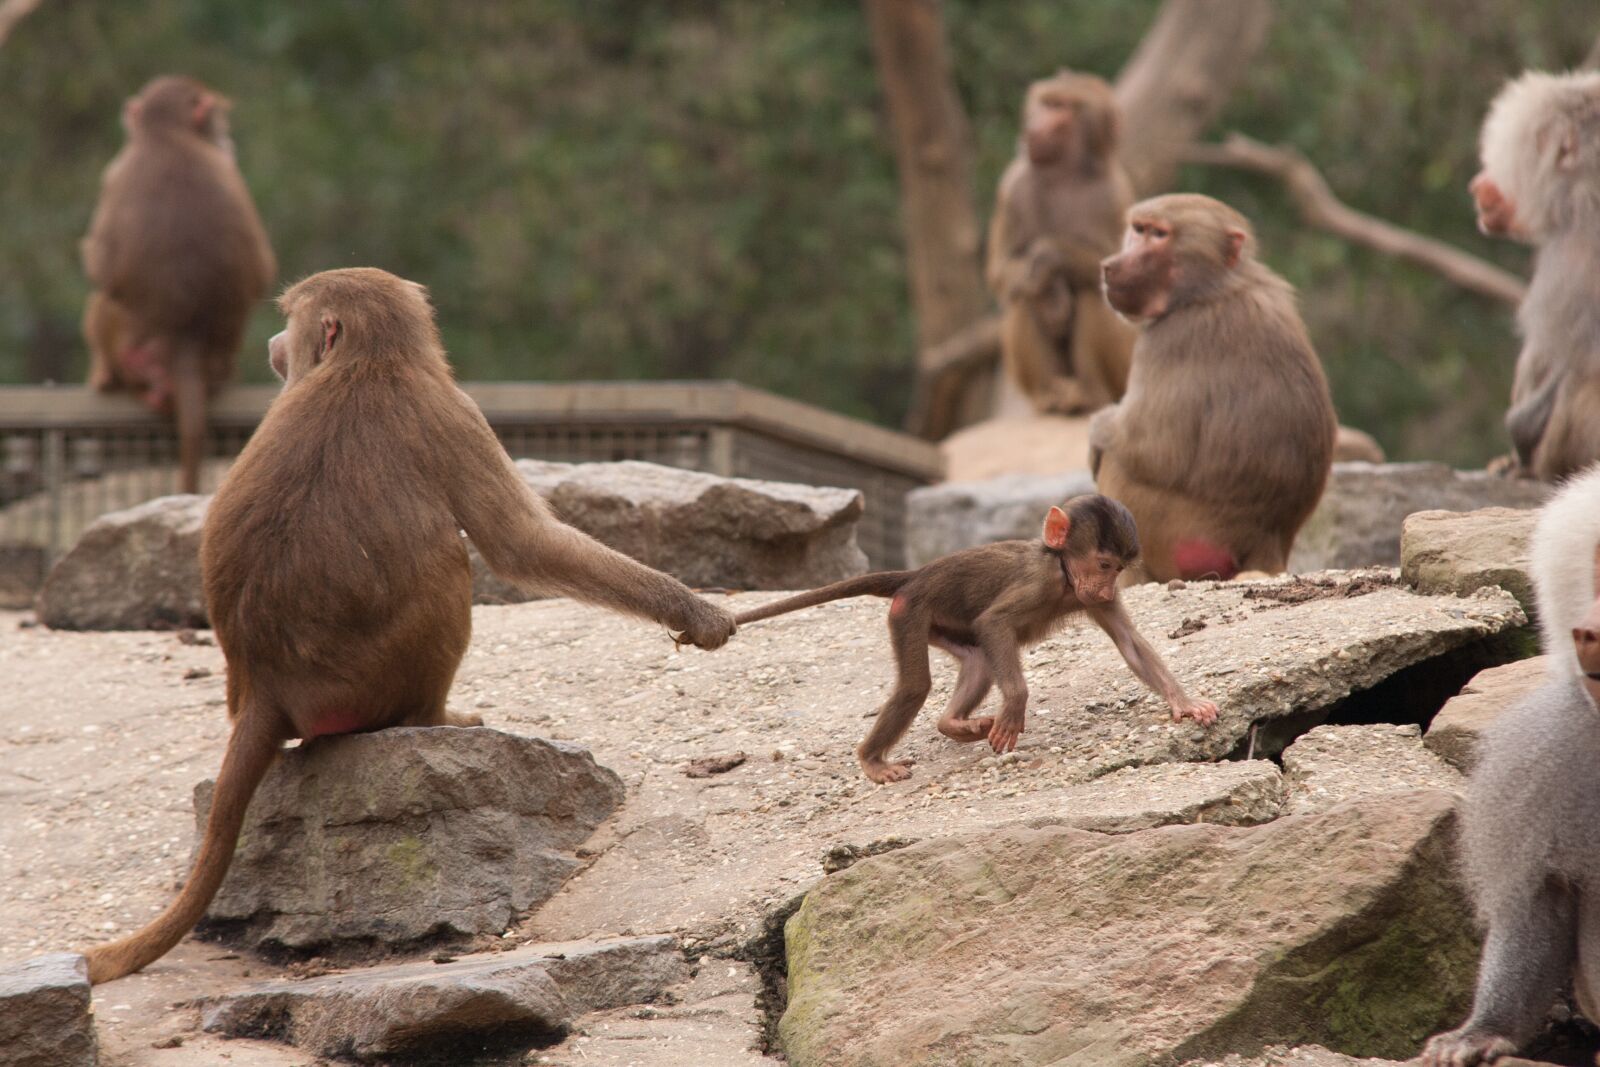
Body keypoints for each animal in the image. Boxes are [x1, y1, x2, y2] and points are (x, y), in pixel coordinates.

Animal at [80, 269, 737, 984]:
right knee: (450, 563)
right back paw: (437, 718)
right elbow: (521, 544)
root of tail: (266, 688)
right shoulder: (453, 410)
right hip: (368, 680)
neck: (368, 359)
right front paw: (694, 610)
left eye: (291, 321)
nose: (276, 346)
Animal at [81, 75, 276, 494]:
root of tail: (187, 338)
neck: (166, 133)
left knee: (102, 303)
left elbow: (101, 262)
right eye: (219, 120)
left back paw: (104, 376)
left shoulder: (115, 171)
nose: (227, 140)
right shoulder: (227, 169)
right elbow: (262, 270)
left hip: (129, 350)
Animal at [733, 494, 1218, 784]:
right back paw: (873, 760)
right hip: (909, 611)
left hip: (938, 622)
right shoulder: (1038, 583)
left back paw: (954, 724)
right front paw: (1015, 708)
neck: (1063, 573)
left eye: (1118, 569)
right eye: (1103, 564)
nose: (1103, 587)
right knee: (917, 686)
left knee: (979, 663)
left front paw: (1186, 703)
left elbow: (1130, 644)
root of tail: (915, 575)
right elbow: (996, 623)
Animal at [986, 70, 1138, 416]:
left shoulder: (1113, 194)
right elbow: (1002, 272)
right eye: (1045, 103)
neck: (1062, 174)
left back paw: (1089, 396)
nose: (1033, 129)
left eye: (1061, 108)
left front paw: (1047, 258)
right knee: (1023, 294)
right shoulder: (1012, 185)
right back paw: (1051, 396)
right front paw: (1050, 292)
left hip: (1123, 370)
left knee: (1092, 292)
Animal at [1090, 194, 1337, 583]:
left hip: (1172, 533)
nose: (1110, 267)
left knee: (1120, 464)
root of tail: (1268, 544)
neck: (1217, 285)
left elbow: (1153, 450)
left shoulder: (1170, 336)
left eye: (1159, 235)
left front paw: (1097, 429)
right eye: (1138, 229)